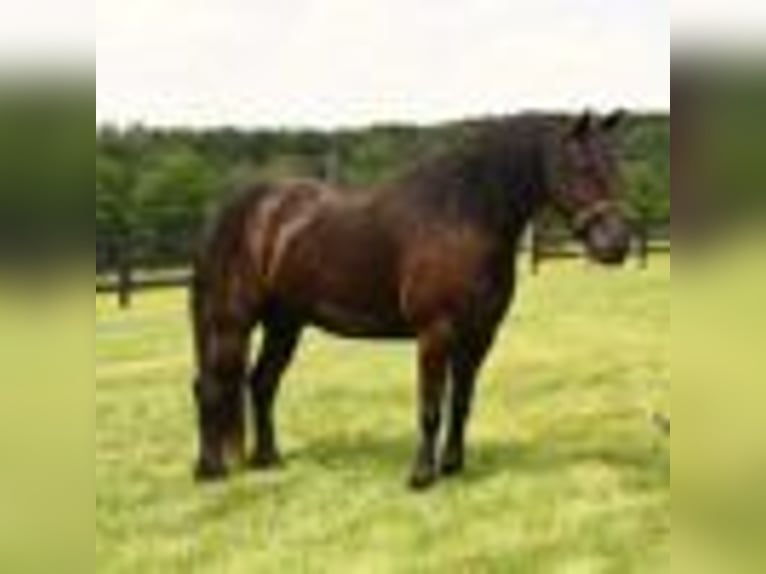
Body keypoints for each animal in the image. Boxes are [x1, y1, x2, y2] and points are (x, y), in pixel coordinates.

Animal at [190, 111, 631, 490]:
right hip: (232, 321)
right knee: (211, 385)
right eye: (581, 166)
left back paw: (268, 460)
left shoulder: (479, 336)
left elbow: (462, 402)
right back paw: (211, 470)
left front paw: (452, 466)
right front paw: (421, 476)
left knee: (262, 383)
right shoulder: (436, 332)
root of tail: (243, 208)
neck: (462, 216)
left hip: (285, 324)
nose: (617, 244)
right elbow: (431, 407)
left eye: (616, 166)